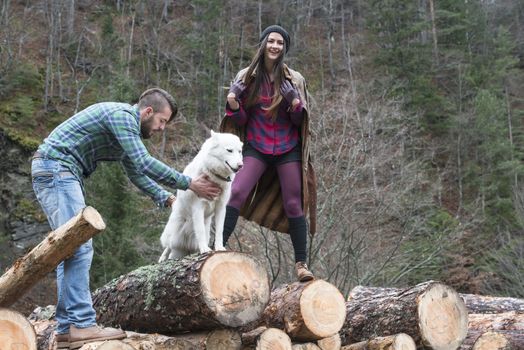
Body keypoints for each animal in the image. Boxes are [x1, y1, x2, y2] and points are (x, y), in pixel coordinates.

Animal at [158, 130, 244, 262]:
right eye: (229, 150)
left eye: (239, 151)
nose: (241, 165)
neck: (214, 177)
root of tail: (184, 244)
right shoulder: (198, 207)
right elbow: (200, 231)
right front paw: (204, 249)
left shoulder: (221, 208)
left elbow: (220, 231)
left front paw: (219, 248)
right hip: (172, 235)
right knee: (167, 247)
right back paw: (162, 259)